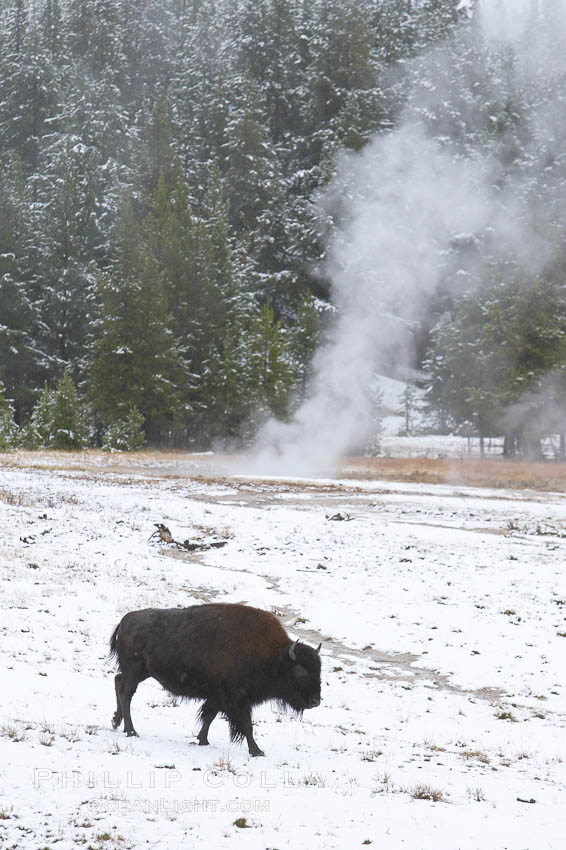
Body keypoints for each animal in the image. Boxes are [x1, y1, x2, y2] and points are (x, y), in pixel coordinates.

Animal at [108, 604, 322, 756]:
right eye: (300, 671)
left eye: (319, 669)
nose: (316, 700)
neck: (274, 657)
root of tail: (126, 620)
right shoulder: (237, 699)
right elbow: (246, 725)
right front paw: (257, 751)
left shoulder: (219, 697)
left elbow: (209, 716)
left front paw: (203, 740)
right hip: (134, 671)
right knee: (126, 693)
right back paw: (131, 731)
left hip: (142, 672)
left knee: (118, 682)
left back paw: (116, 722)